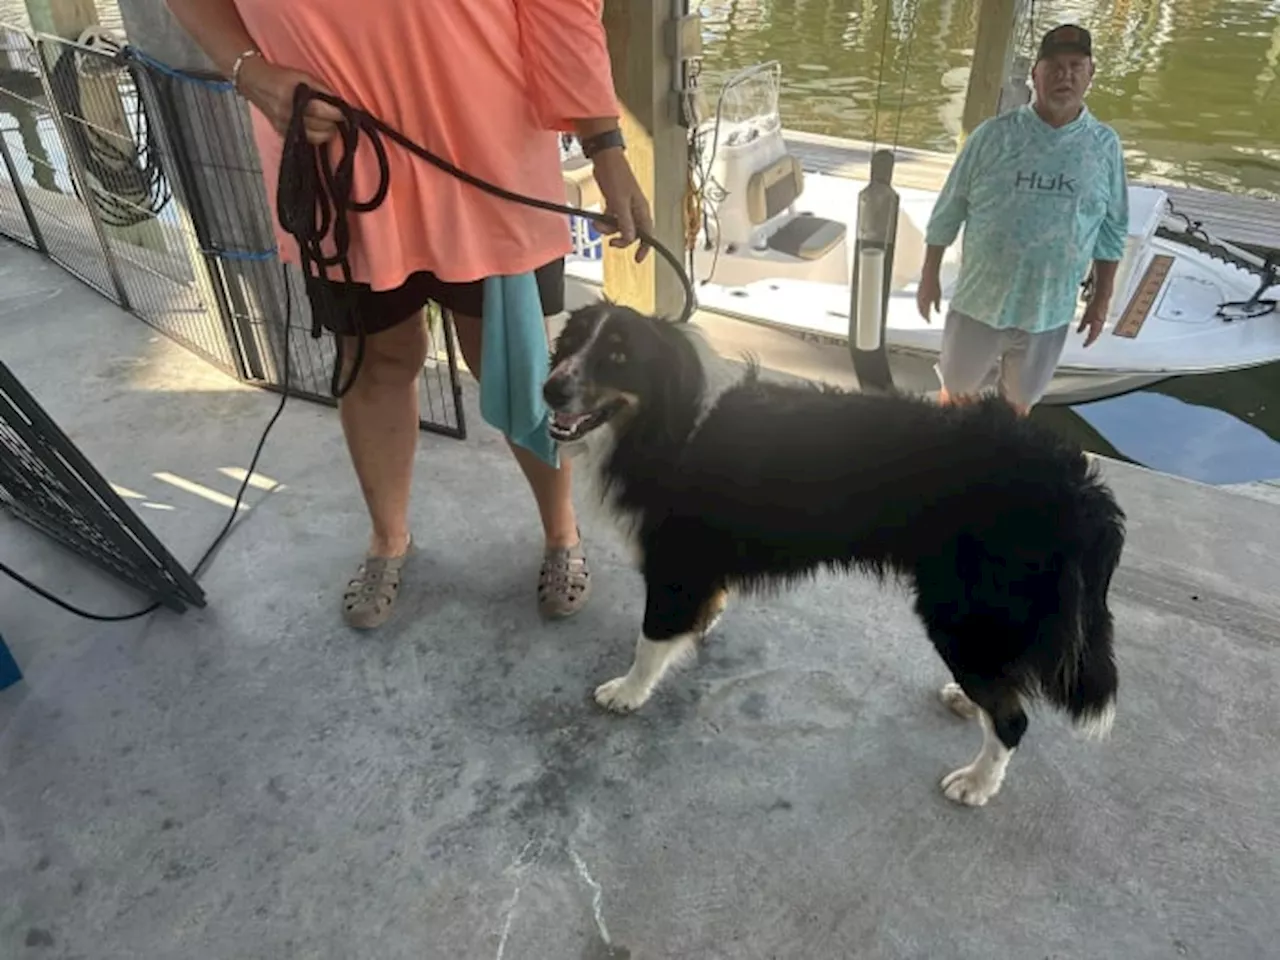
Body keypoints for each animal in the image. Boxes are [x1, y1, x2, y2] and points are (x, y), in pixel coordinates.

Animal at [545, 304, 1126, 808]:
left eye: (619, 356)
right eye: (570, 344)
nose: (550, 388)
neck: (671, 414)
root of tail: (1079, 484)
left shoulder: (676, 561)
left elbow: (650, 639)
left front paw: (628, 691)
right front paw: (700, 627)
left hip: (962, 610)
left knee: (1013, 719)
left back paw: (977, 782)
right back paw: (968, 701)